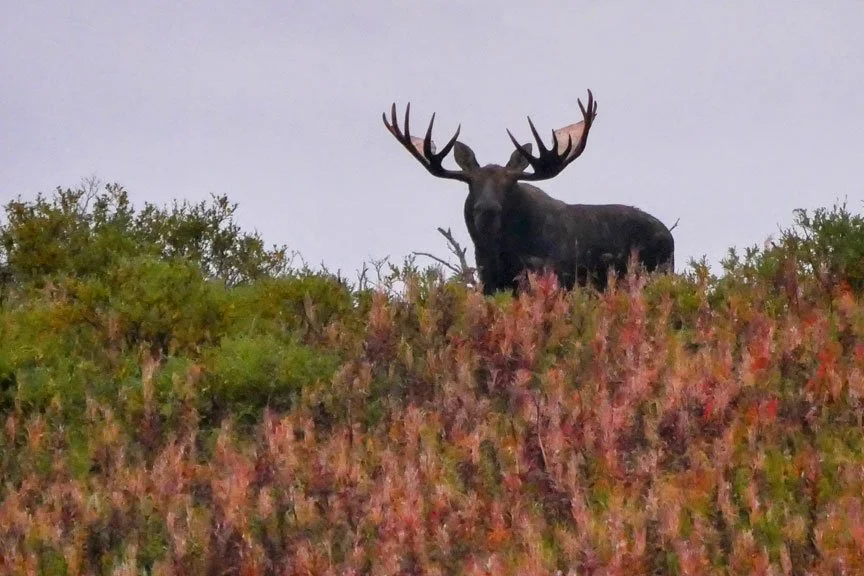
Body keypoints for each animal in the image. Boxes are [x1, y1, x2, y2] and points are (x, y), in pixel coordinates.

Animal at [383, 90, 675, 295]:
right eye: (471, 183)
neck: (500, 253)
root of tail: (669, 236)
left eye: (509, 185)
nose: (487, 210)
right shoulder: (490, 283)